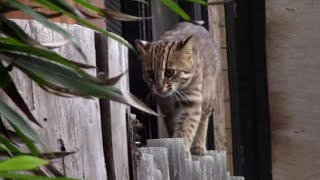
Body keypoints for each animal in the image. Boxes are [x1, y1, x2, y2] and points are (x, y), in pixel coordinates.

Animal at [134, 22, 220, 158]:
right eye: (151, 74)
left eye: (169, 72)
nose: (159, 87)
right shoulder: (166, 106)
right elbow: (173, 125)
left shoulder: (192, 100)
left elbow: (186, 126)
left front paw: (183, 150)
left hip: (208, 94)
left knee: (204, 118)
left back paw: (198, 146)